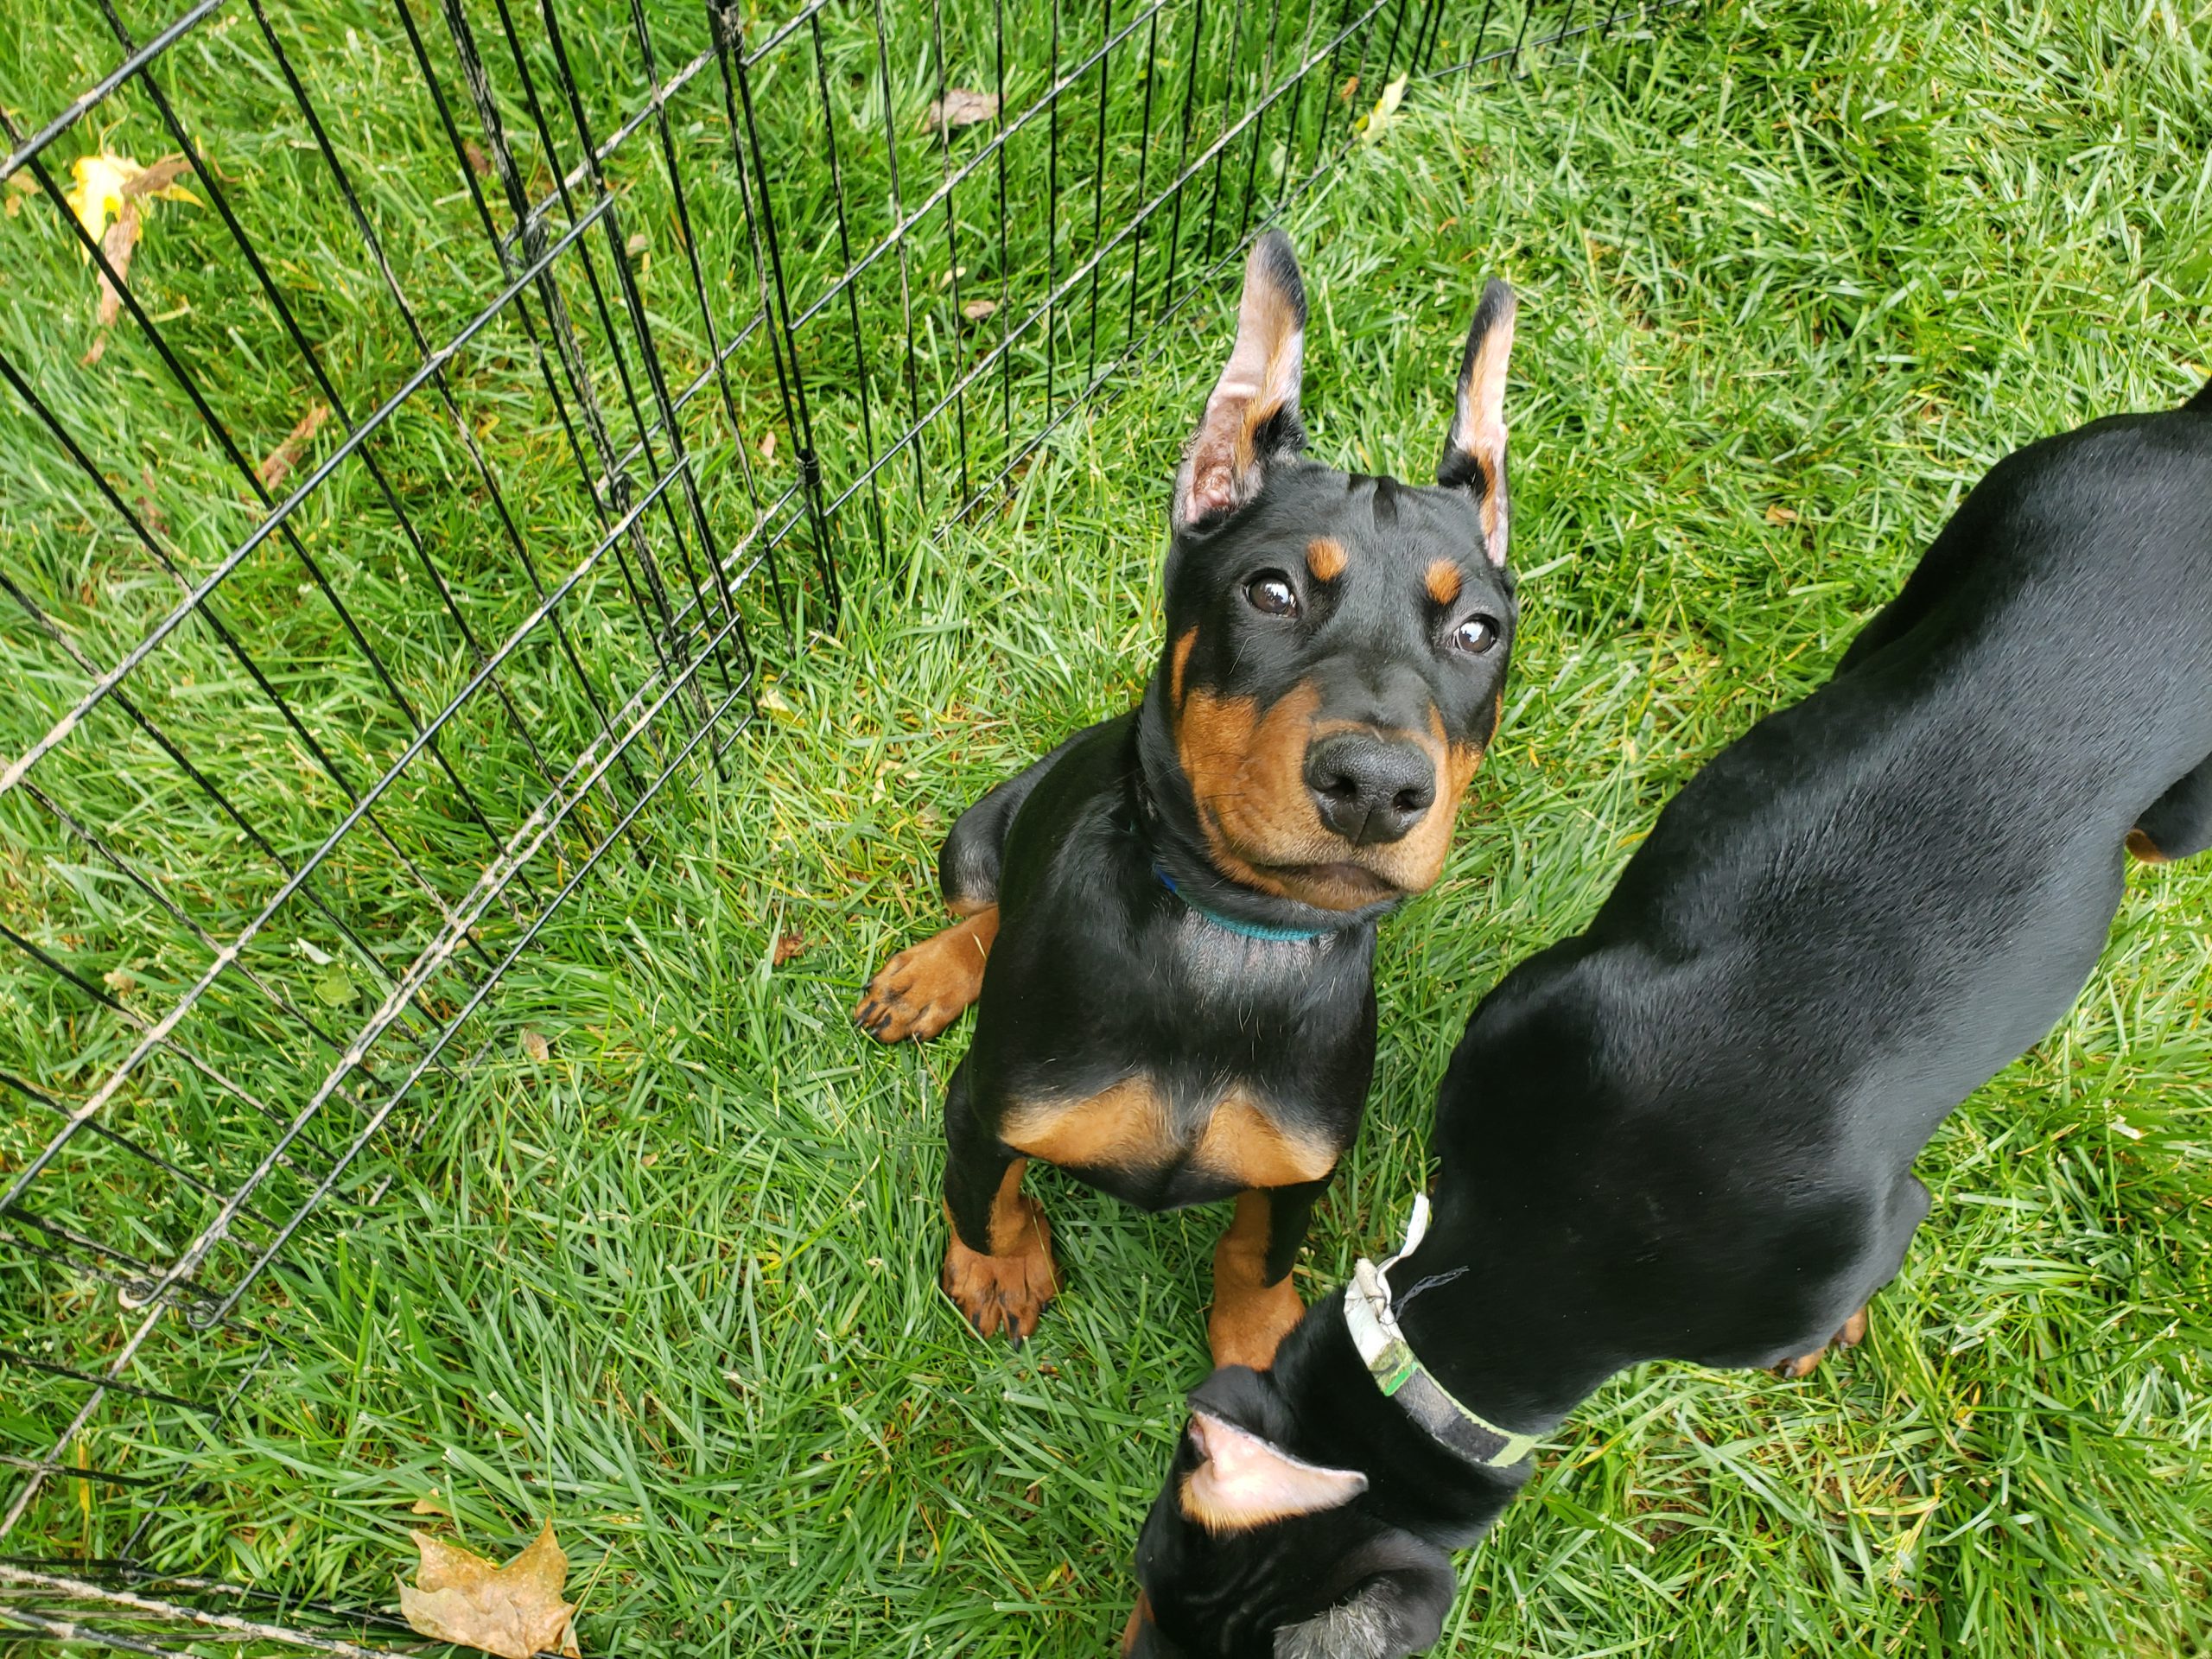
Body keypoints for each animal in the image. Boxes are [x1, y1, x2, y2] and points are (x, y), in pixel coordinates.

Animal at [849, 234, 1522, 1380]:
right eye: (1271, 591)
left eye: (1477, 631)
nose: (1376, 788)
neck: (1232, 935)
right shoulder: (987, 1108)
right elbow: (985, 1197)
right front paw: (998, 1271)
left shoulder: (1302, 1165)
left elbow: (1254, 1251)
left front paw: (1254, 1342)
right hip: (978, 830)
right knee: (984, 907)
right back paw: (930, 975)